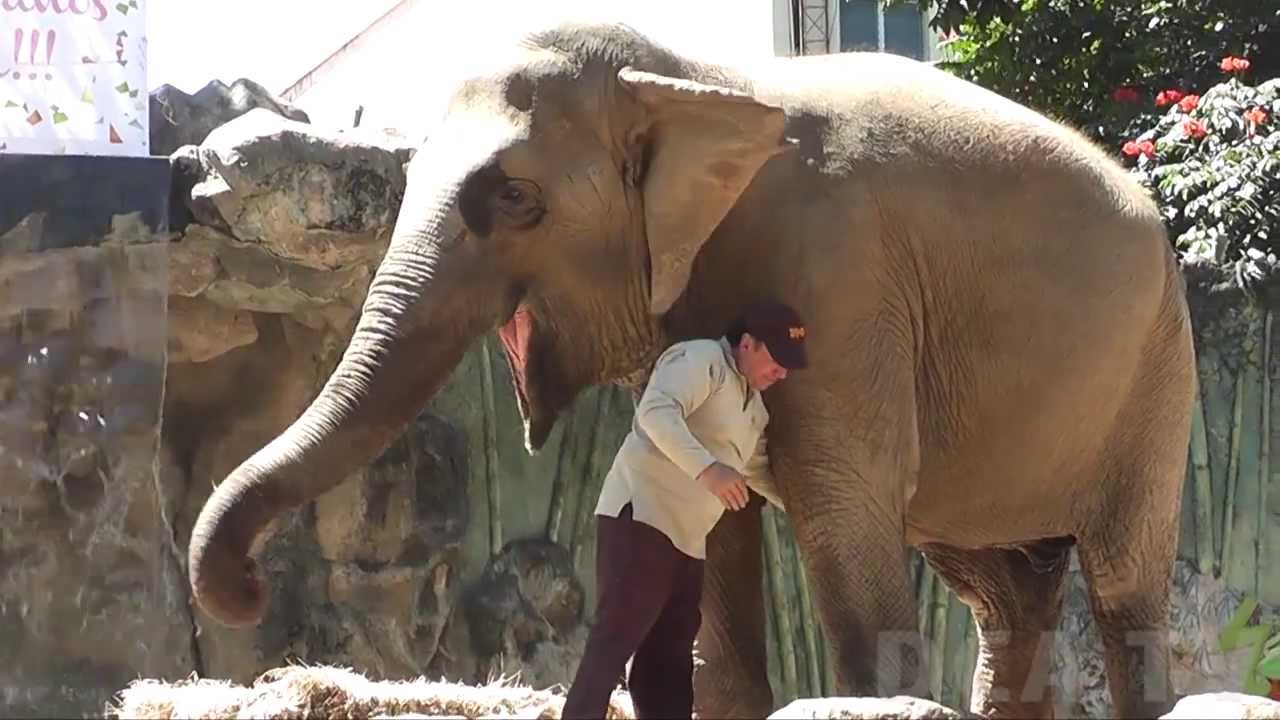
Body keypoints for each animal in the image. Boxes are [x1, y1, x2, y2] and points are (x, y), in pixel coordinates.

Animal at [185, 21, 1196, 720]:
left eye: (514, 197)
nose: (250, 590)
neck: (691, 81)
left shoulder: (841, 280)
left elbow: (843, 516)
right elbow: (705, 516)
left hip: (1156, 370)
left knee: (1120, 588)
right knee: (1003, 595)